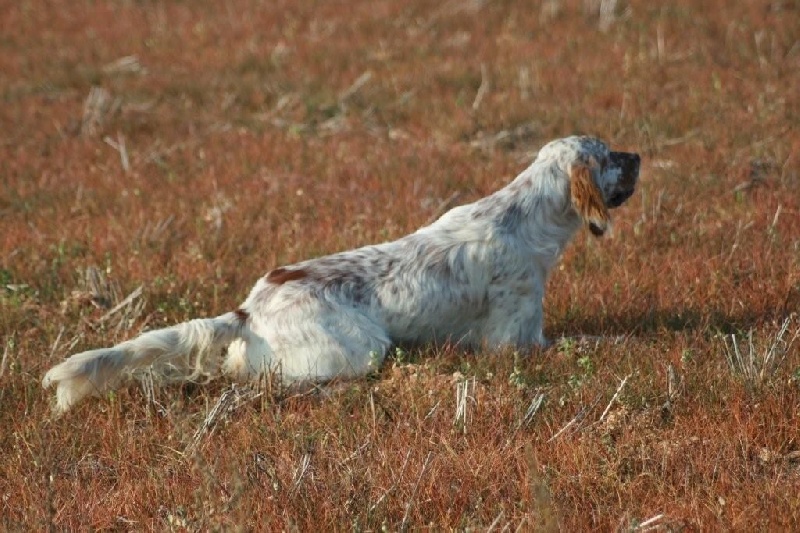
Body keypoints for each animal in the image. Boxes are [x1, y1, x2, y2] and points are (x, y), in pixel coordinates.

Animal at [43, 135, 640, 410]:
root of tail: (250, 309)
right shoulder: (517, 341)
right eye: (610, 156)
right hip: (361, 348)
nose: (638, 155)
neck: (525, 216)